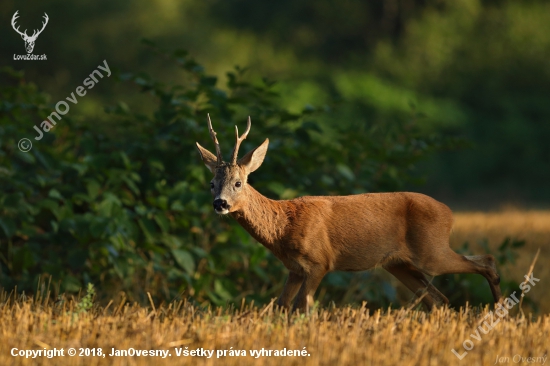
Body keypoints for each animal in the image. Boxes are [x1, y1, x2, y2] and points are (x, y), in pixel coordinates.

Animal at [195, 115, 504, 312]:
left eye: (238, 183)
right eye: (211, 184)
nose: (220, 203)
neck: (283, 225)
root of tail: (449, 213)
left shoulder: (319, 261)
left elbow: (301, 307)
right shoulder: (294, 268)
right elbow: (281, 306)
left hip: (431, 250)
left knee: (486, 261)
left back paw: (501, 310)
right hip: (399, 263)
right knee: (438, 299)